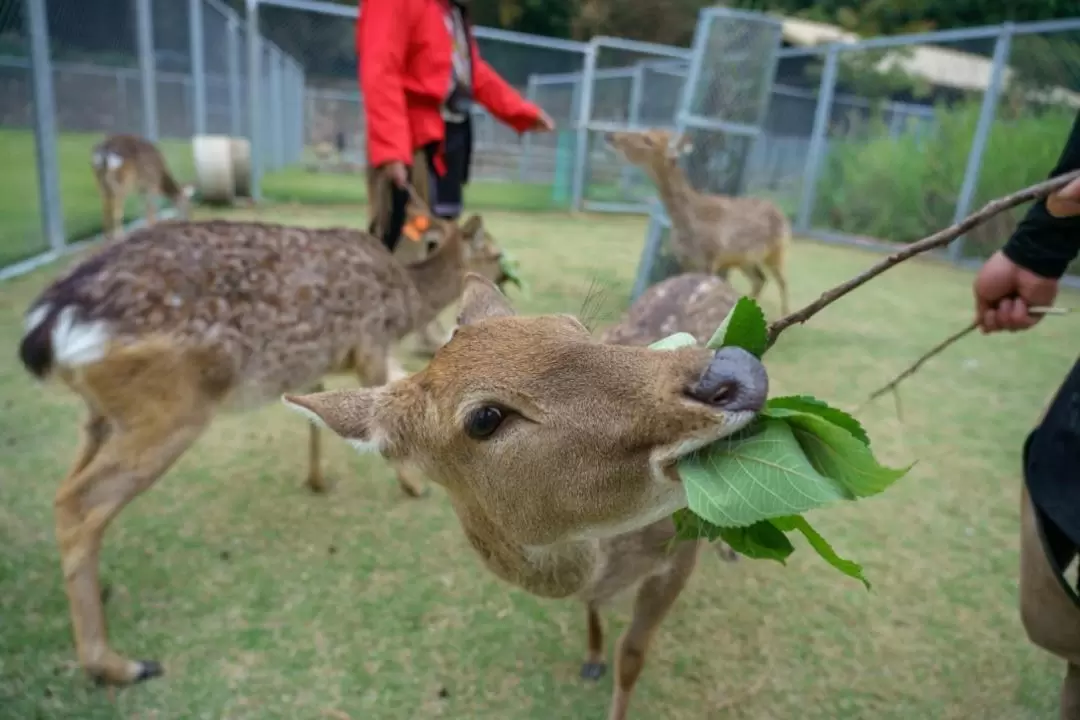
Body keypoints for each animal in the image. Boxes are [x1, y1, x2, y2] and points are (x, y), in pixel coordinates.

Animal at [14, 212, 507, 686]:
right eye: (494, 250)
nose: (506, 274)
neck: (405, 299)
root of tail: (47, 328)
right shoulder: (369, 342)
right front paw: (415, 486)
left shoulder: (321, 362)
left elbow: (316, 409)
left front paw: (317, 480)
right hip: (170, 405)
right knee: (78, 501)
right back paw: (116, 665)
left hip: (102, 414)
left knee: (66, 492)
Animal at [280, 272, 768, 720]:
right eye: (484, 418)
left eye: (574, 325)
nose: (735, 371)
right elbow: (595, 615)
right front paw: (592, 659)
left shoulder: (679, 555)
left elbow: (631, 656)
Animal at [609, 127, 794, 317]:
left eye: (648, 139)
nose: (611, 136)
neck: (689, 220)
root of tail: (782, 214)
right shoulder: (685, 259)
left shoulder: (711, 259)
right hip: (745, 260)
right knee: (760, 279)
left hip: (777, 251)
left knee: (782, 281)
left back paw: (785, 314)